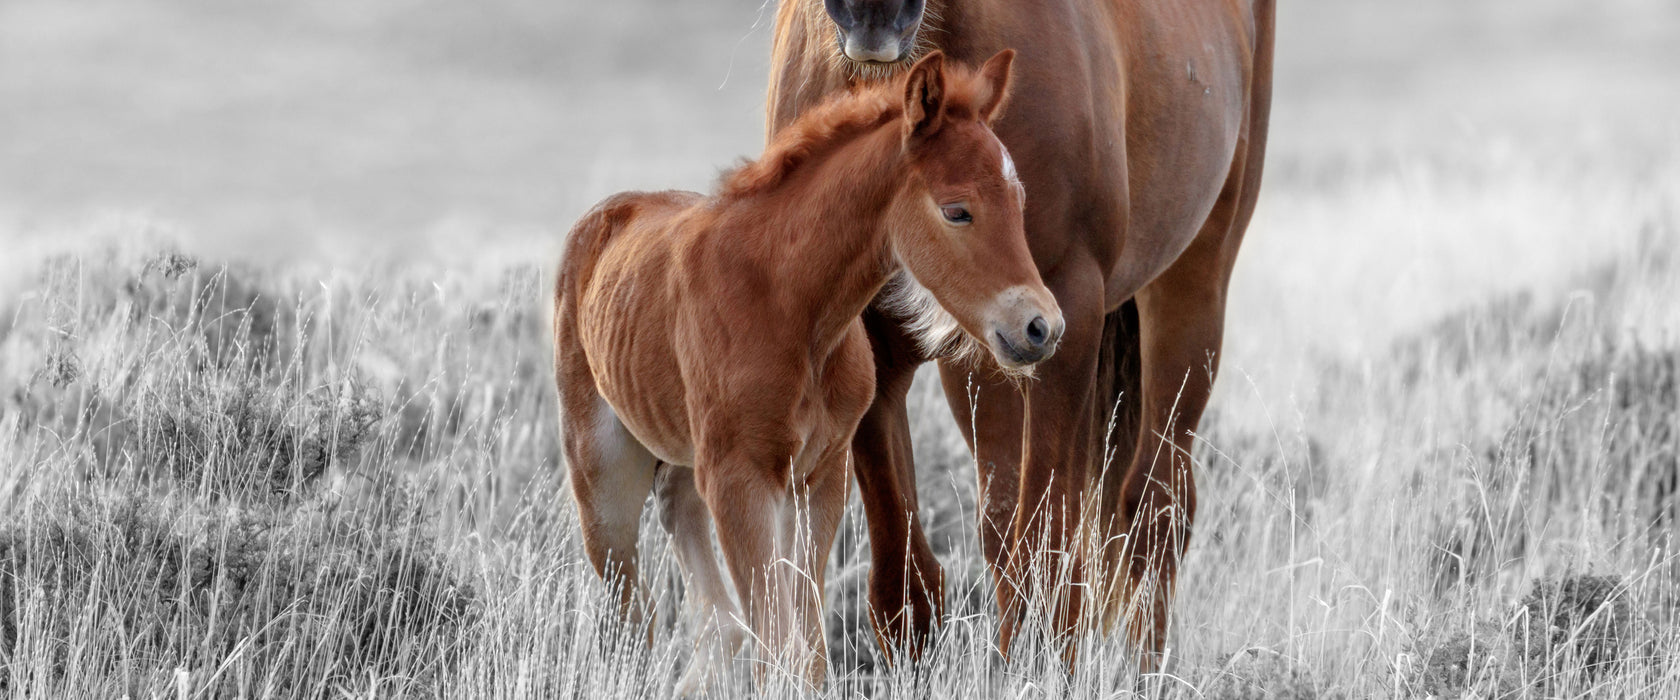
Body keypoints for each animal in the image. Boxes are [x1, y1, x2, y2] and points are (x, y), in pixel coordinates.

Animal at [554, 50, 1061, 688]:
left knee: (687, 540)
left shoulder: (820, 477)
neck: (792, 308)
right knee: (630, 609)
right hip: (602, 476)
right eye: (957, 211)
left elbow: (808, 648)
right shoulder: (740, 479)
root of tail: (602, 217)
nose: (1041, 327)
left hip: (688, 459)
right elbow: (779, 646)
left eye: (1019, 202)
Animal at [769, 0, 1276, 661]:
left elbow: (1043, 539)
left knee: (1154, 505)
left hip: (1190, 288)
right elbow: (906, 571)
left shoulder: (1063, 308)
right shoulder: (872, 333)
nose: (873, 14)